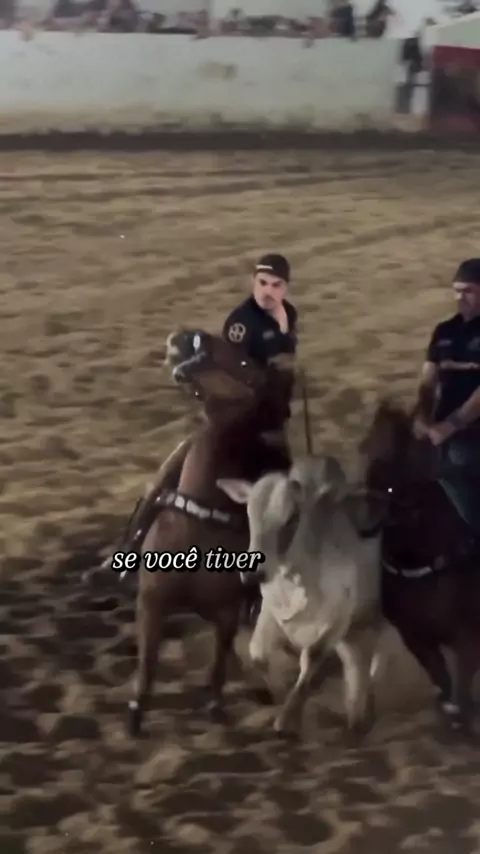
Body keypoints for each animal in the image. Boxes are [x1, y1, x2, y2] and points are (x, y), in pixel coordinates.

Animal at [127, 329, 294, 736]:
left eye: (245, 362)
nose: (187, 337)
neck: (199, 526)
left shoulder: (227, 612)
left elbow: (218, 663)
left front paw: (218, 707)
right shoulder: (152, 602)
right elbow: (148, 660)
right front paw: (137, 709)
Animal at [359, 398, 480, 734]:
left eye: (401, 456)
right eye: (367, 447)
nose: (366, 520)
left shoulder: (468, 636)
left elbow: (461, 688)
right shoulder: (415, 637)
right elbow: (444, 680)